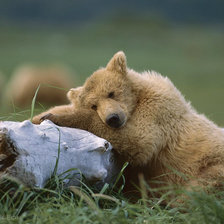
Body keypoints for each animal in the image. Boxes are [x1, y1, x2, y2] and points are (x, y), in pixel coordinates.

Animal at [32, 51, 224, 195]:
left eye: (111, 93)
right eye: (94, 105)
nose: (113, 118)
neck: (137, 99)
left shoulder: (158, 110)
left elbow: (138, 140)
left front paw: (58, 117)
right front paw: (40, 116)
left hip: (208, 164)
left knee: (202, 187)